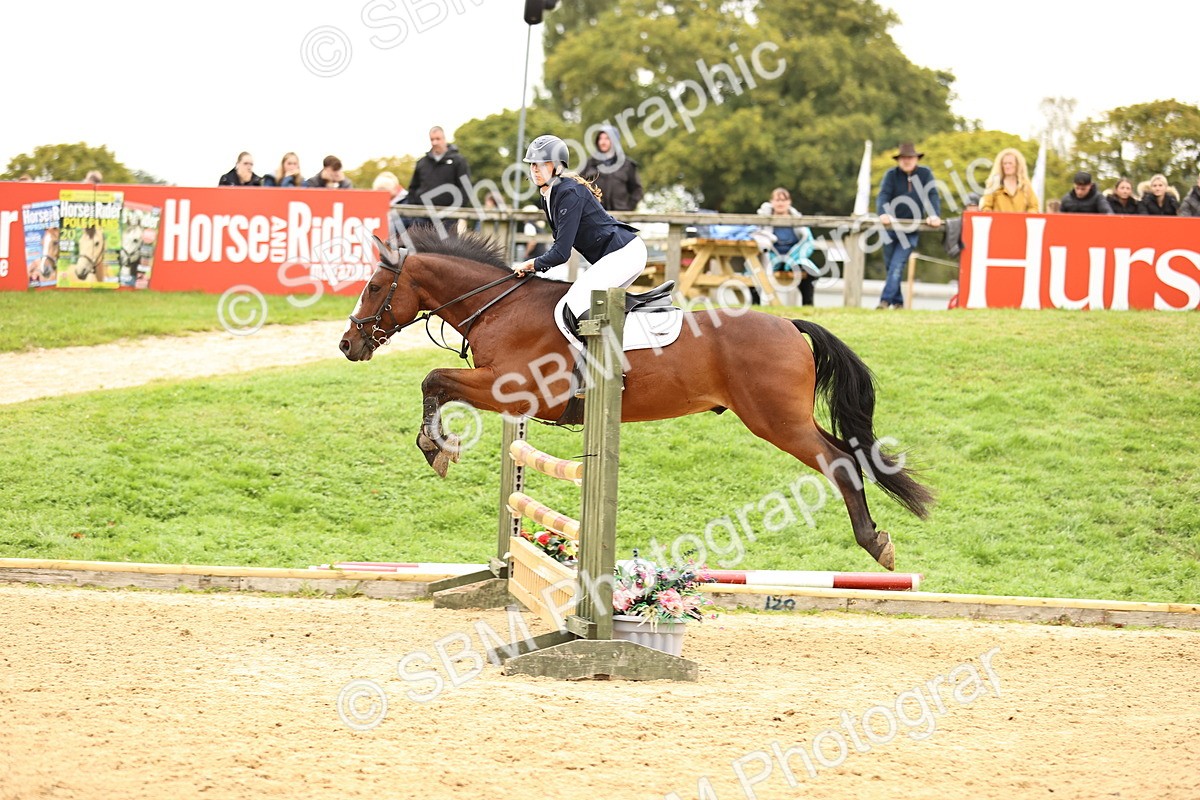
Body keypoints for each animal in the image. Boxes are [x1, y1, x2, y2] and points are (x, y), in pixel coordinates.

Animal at [339, 228, 932, 570]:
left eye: (373, 287)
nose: (348, 345)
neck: (499, 307)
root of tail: (789, 323)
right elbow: (438, 384)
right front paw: (439, 446)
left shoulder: (513, 387)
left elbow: (433, 379)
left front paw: (435, 447)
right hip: (785, 418)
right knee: (851, 453)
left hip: (776, 422)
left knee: (839, 461)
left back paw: (873, 542)